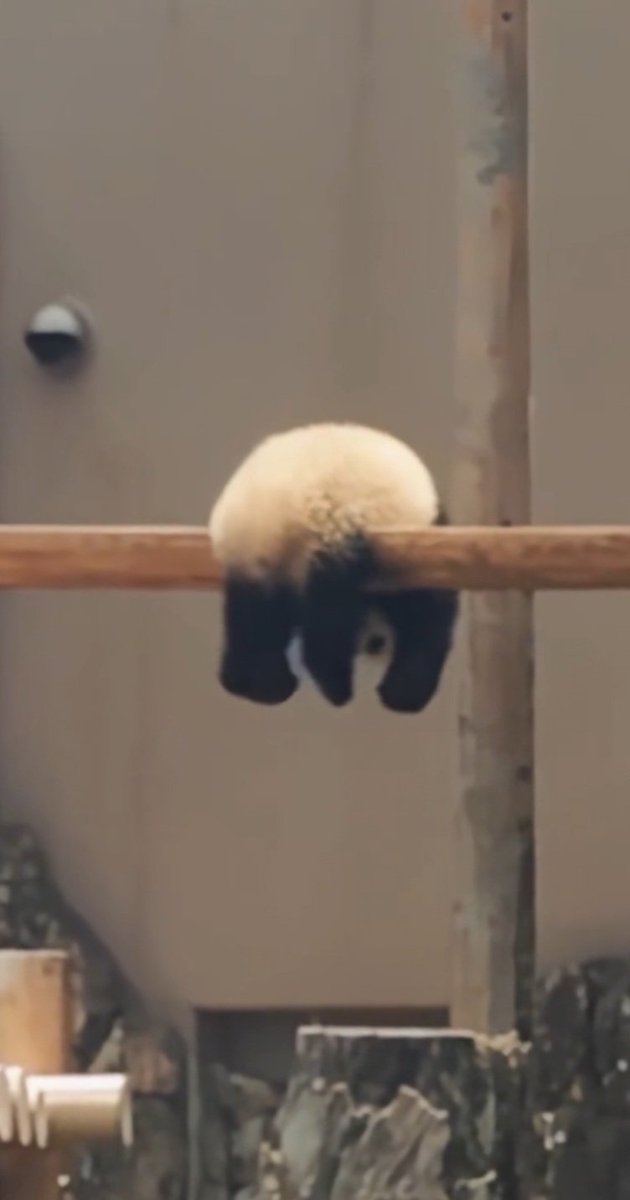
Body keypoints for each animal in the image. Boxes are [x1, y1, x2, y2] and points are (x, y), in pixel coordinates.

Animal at [208, 422, 458, 713]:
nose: (376, 643)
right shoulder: (418, 559)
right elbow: (430, 617)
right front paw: (404, 692)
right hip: (349, 524)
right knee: (329, 611)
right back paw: (334, 687)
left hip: (252, 548)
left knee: (253, 613)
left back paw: (261, 685)